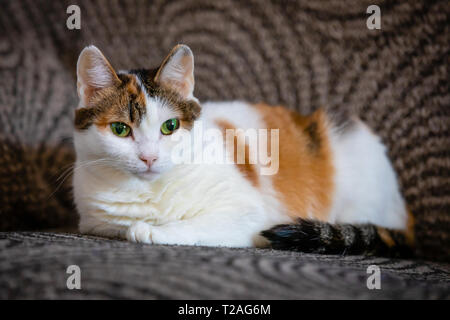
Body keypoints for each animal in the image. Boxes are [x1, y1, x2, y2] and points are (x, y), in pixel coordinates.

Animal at [74, 43, 414, 256]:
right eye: (120, 129)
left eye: (169, 126)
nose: (149, 157)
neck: (150, 193)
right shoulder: (94, 221)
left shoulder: (249, 215)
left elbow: (196, 224)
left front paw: (152, 231)